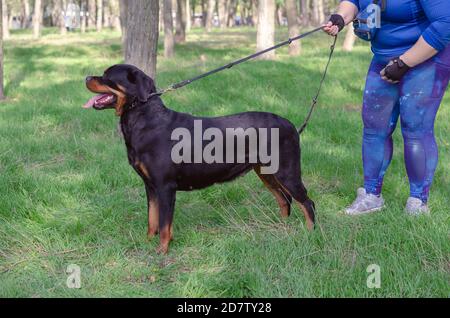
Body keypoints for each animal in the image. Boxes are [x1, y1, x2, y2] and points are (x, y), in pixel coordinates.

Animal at [84, 64, 316, 253]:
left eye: (107, 77)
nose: (86, 77)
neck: (144, 118)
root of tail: (291, 125)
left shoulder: (165, 187)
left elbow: (164, 223)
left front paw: (162, 251)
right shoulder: (150, 186)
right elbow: (152, 218)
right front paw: (148, 241)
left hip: (286, 171)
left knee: (307, 202)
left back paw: (310, 233)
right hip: (266, 172)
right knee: (284, 200)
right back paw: (281, 227)